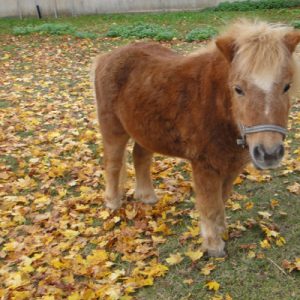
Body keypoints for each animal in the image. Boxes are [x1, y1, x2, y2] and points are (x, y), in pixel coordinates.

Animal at [92, 19, 300, 256]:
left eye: (287, 86)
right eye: (238, 89)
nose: (269, 153)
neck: (218, 104)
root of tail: (105, 57)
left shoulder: (230, 166)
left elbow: (221, 198)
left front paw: (221, 229)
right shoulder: (204, 165)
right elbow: (210, 204)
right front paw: (213, 245)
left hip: (146, 129)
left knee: (140, 157)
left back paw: (146, 197)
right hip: (113, 129)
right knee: (113, 164)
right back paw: (112, 203)